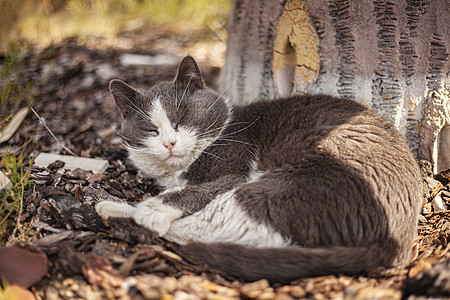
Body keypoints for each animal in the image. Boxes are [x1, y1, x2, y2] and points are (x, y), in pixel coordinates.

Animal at [96, 55, 424, 282]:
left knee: (201, 230)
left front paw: (152, 209)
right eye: (151, 130)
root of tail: (397, 241)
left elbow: (192, 193)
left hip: (281, 189)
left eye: (182, 119)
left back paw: (124, 213)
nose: (169, 143)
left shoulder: (236, 172)